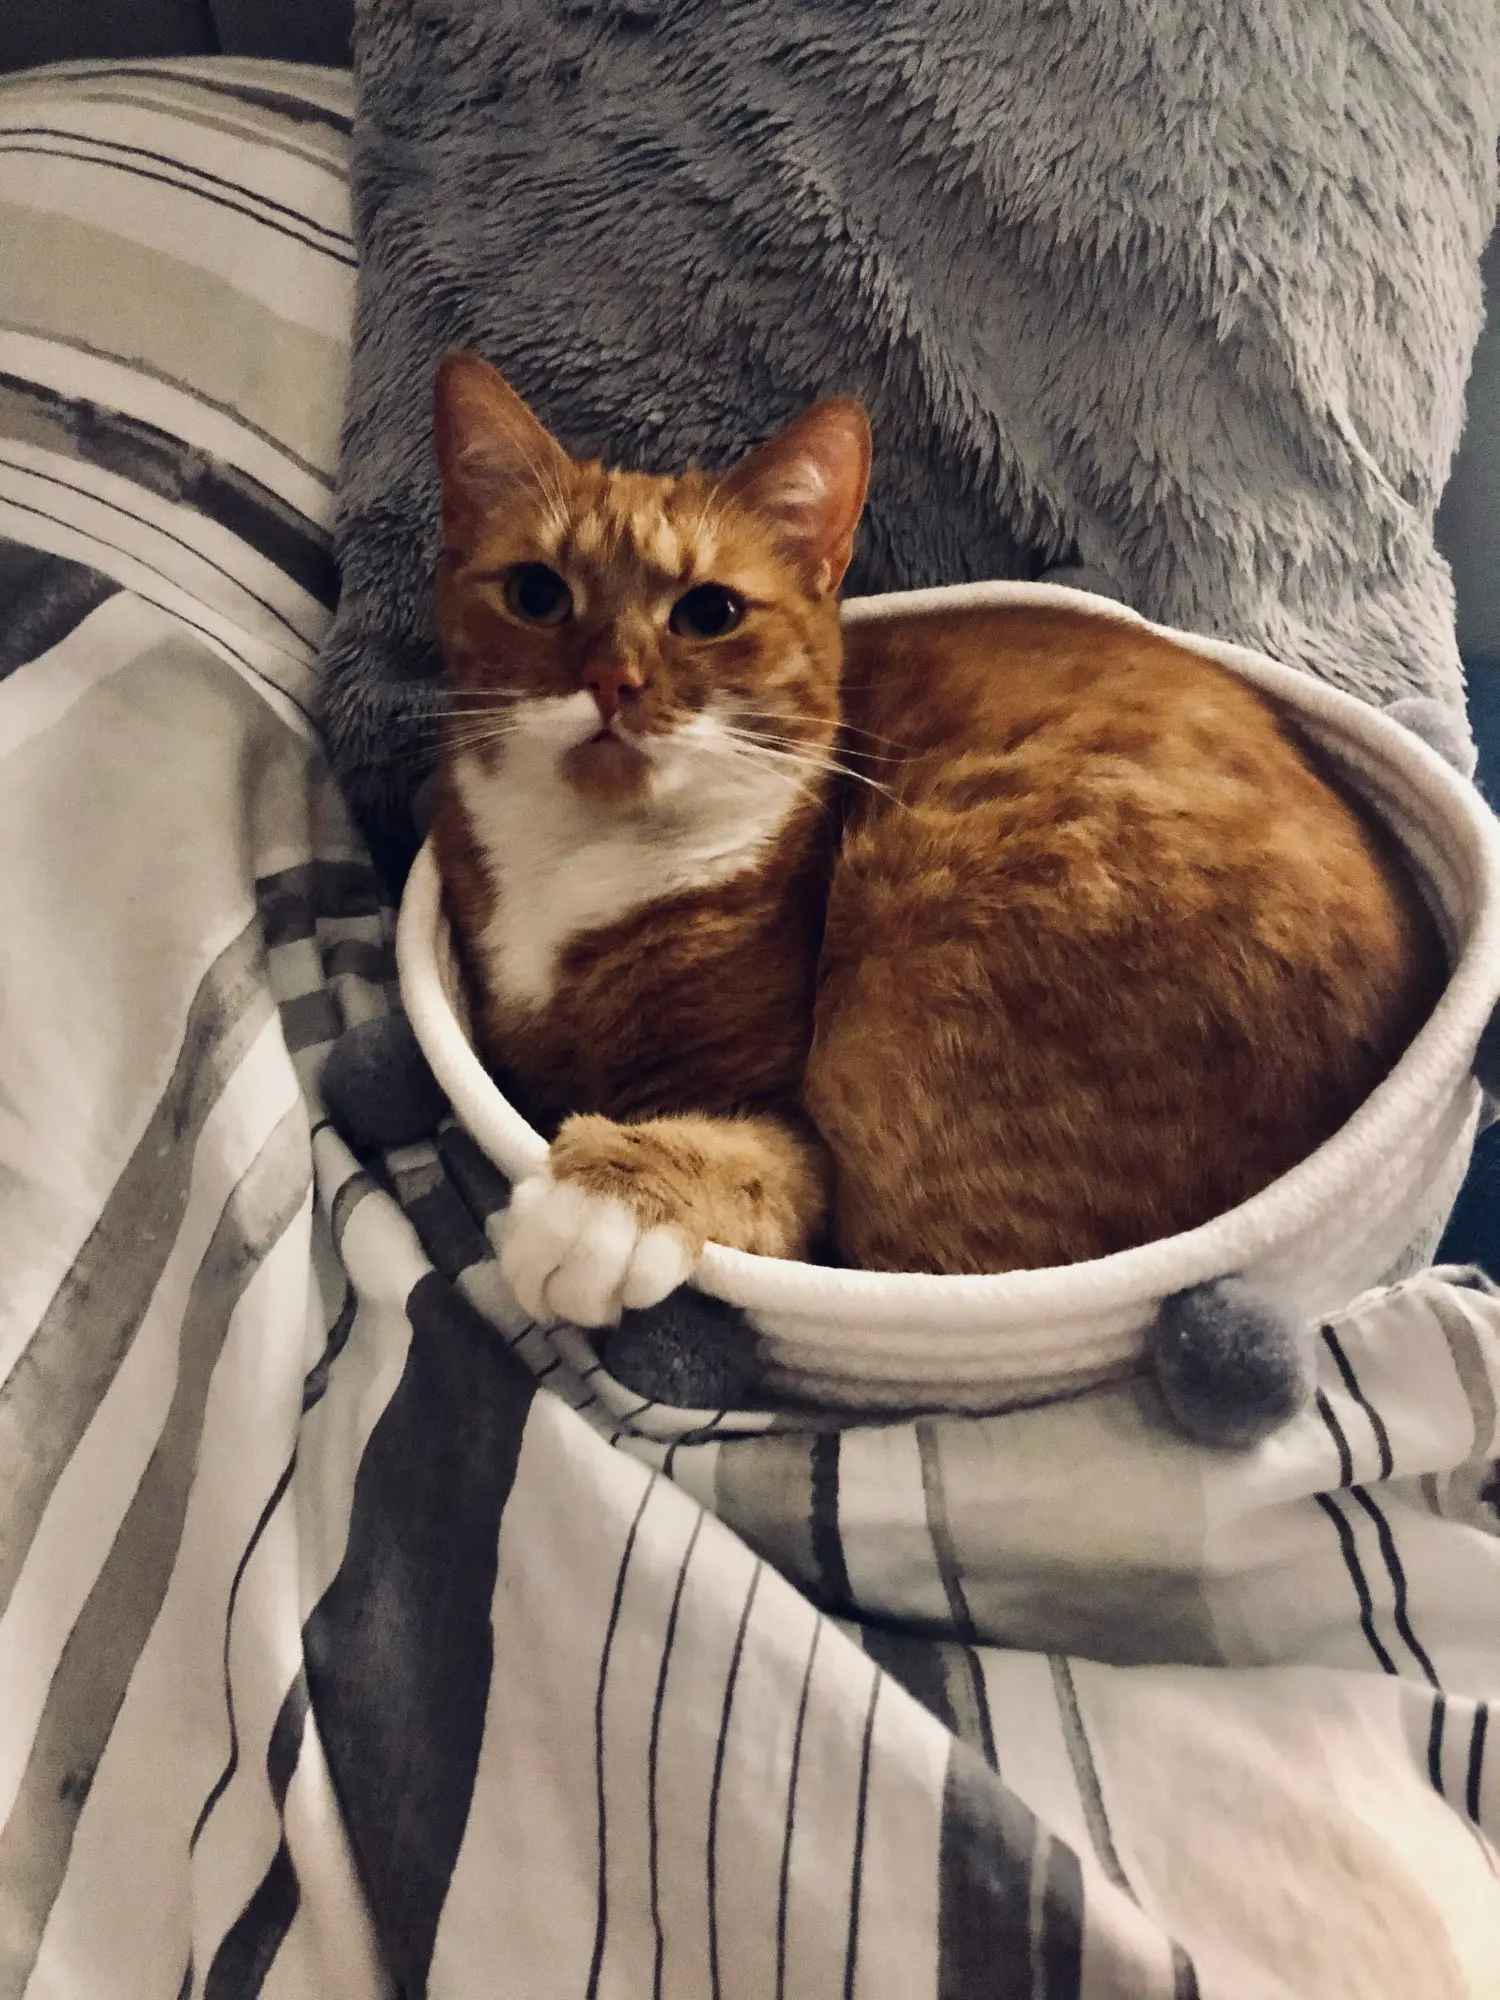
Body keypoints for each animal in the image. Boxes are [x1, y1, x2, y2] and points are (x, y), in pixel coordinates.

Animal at [428, 349, 1445, 1329]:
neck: (589, 862)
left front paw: (596, 1204)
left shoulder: (786, 1124)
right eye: (537, 594)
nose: (613, 680)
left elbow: (736, 1160)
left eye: (709, 614)